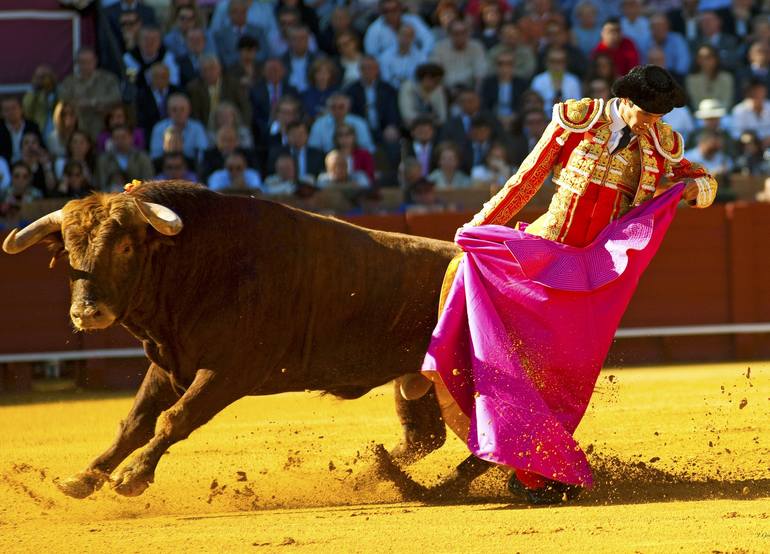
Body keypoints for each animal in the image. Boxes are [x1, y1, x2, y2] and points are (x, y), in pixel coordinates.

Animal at [2, 180, 488, 499]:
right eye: (69, 249)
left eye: (124, 247)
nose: (87, 312)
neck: (197, 262)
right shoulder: (168, 363)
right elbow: (134, 424)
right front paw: (83, 478)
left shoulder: (229, 372)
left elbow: (175, 419)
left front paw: (133, 478)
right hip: (418, 382)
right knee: (423, 438)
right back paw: (374, 478)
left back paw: (435, 489)